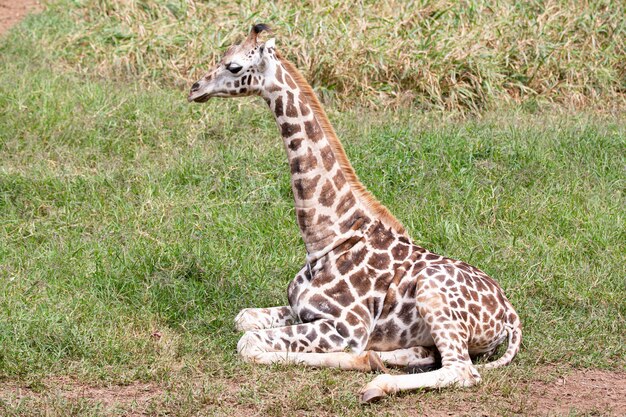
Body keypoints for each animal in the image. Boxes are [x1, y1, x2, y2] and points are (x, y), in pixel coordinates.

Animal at [188, 24, 520, 402]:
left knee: (461, 370)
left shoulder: (346, 327)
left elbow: (248, 343)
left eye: (233, 66)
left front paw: (360, 360)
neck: (326, 236)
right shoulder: (302, 310)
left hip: (432, 294)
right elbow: (242, 318)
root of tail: (509, 313)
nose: (195, 88)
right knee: (429, 354)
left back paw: (376, 382)